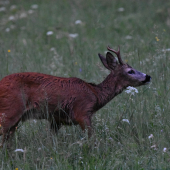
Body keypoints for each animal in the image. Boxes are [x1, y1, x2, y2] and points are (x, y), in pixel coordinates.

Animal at [0, 45, 151, 147]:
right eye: (130, 71)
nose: (148, 76)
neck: (96, 94)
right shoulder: (82, 112)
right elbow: (92, 138)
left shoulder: (56, 119)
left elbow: (51, 140)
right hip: (10, 110)